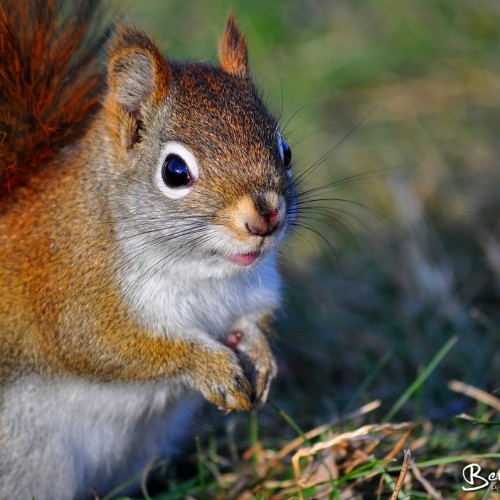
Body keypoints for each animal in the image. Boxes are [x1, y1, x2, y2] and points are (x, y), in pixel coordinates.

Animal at [0, 0, 296, 496]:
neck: (202, 273)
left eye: (286, 149)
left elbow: (255, 323)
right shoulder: (76, 299)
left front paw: (260, 356)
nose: (266, 217)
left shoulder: (254, 291)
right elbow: (117, 348)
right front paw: (212, 368)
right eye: (175, 171)